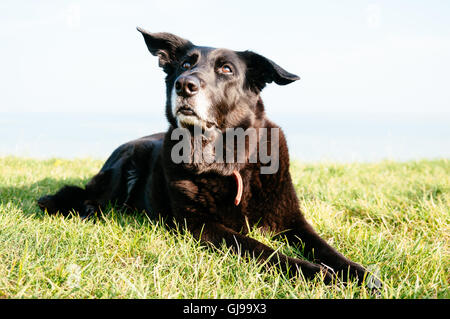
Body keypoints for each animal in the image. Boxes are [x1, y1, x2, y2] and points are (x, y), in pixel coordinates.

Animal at [37, 27, 372, 286]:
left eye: (226, 69)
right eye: (186, 64)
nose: (184, 85)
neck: (228, 162)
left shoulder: (292, 219)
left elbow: (327, 248)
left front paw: (361, 275)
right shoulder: (202, 226)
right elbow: (264, 250)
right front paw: (319, 275)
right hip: (124, 166)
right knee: (84, 193)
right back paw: (85, 208)